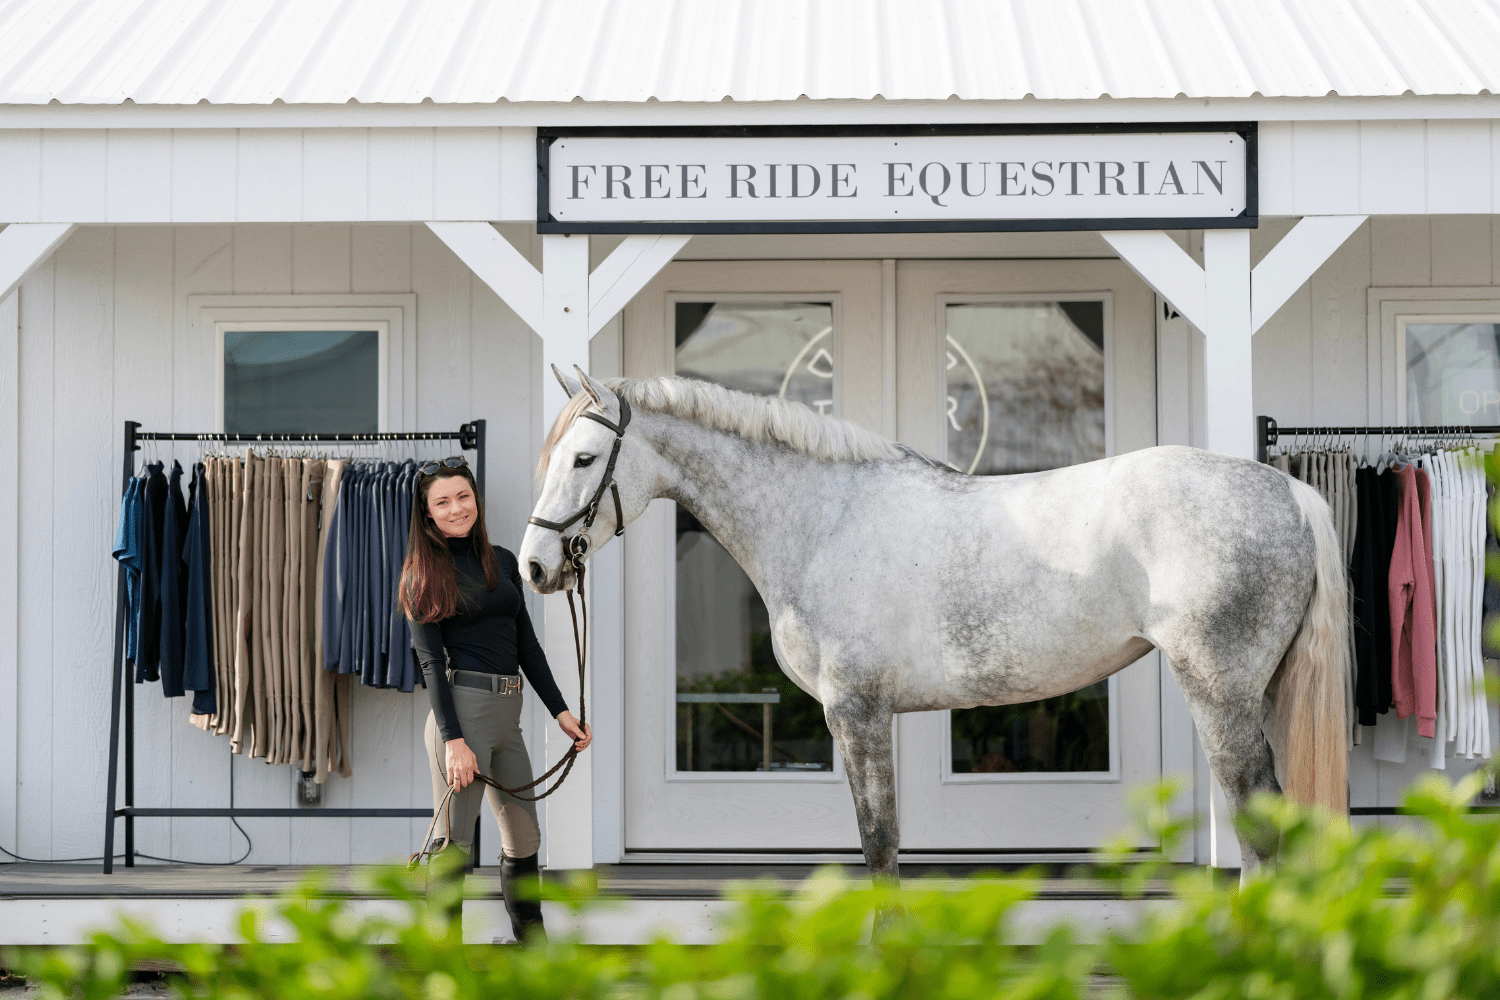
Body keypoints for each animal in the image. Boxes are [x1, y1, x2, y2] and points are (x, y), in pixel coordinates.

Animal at [520, 366, 1350, 878]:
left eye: (585, 457)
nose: (534, 565)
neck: (823, 518)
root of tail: (1286, 492)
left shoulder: (856, 712)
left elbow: (879, 843)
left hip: (1221, 694)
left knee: (1259, 823)